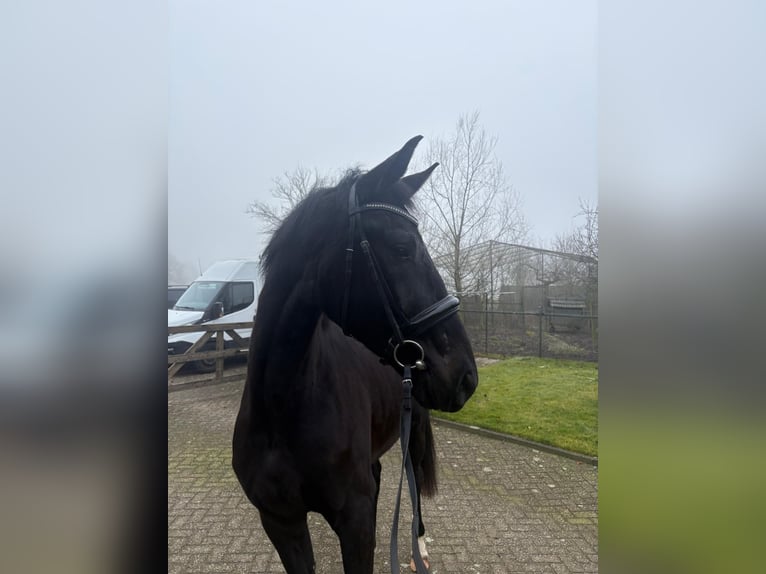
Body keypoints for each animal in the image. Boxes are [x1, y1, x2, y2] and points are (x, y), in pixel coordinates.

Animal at [232, 136, 478, 573]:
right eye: (402, 247)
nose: (466, 376)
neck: (282, 410)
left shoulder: (354, 524)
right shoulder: (281, 522)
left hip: (415, 430)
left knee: (415, 482)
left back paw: (419, 547)